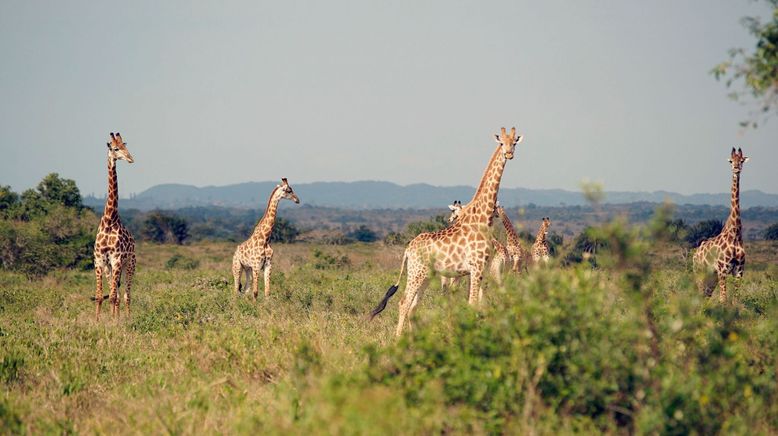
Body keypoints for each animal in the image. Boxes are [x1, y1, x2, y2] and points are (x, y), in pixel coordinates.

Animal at [366, 127, 520, 338]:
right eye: (501, 143)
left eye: (515, 142)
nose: (509, 154)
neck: (483, 218)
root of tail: (407, 250)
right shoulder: (476, 268)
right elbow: (472, 304)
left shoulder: (481, 269)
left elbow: (478, 305)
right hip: (416, 272)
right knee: (404, 303)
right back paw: (398, 340)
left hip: (426, 275)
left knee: (413, 307)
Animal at [696, 148, 748, 302]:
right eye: (731, 161)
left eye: (741, 160)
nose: (736, 168)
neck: (735, 233)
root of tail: (695, 253)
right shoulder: (723, 269)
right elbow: (723, 299)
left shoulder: (739, 270)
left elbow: (736, 300)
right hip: (700, 272)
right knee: (699, 294)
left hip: (711, 276)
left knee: (706, 295)